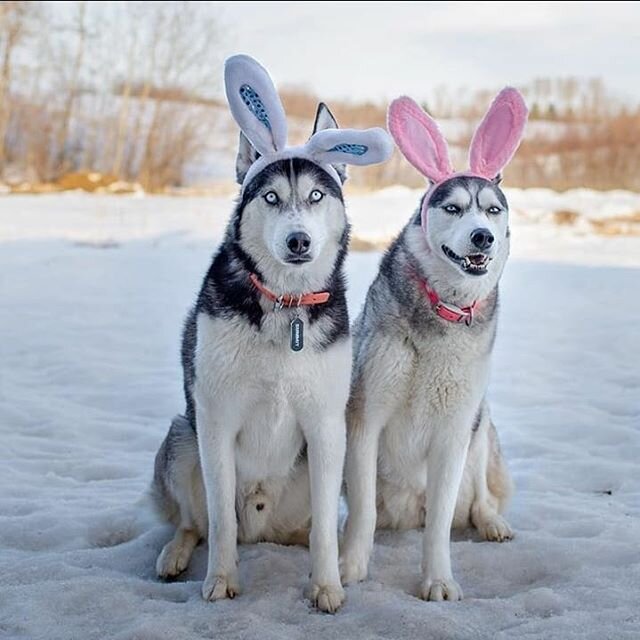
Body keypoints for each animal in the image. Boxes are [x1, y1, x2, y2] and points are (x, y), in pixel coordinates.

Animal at [150, 56, 392, 616]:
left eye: (317, 195)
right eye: (271, 197)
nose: (298, 240)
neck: (285, 306)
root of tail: (263, 529)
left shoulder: (326, 425)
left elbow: (325, 528)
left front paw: (327, 586)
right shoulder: (215, 420)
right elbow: (219, 520)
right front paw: (221, 580)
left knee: (308, 527)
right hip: (181, 438)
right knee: (194, 523)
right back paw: (175, 555)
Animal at [338, 89, 528, 600]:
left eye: (493, 210)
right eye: (454, 209)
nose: (482, 236)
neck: (444, 308)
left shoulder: (454, 431)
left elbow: (441, 523)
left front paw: (438, 579)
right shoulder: (365, 419)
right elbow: (363, 510)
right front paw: (350, 566)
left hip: (481, 426)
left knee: (479, 495)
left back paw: (492, 523)